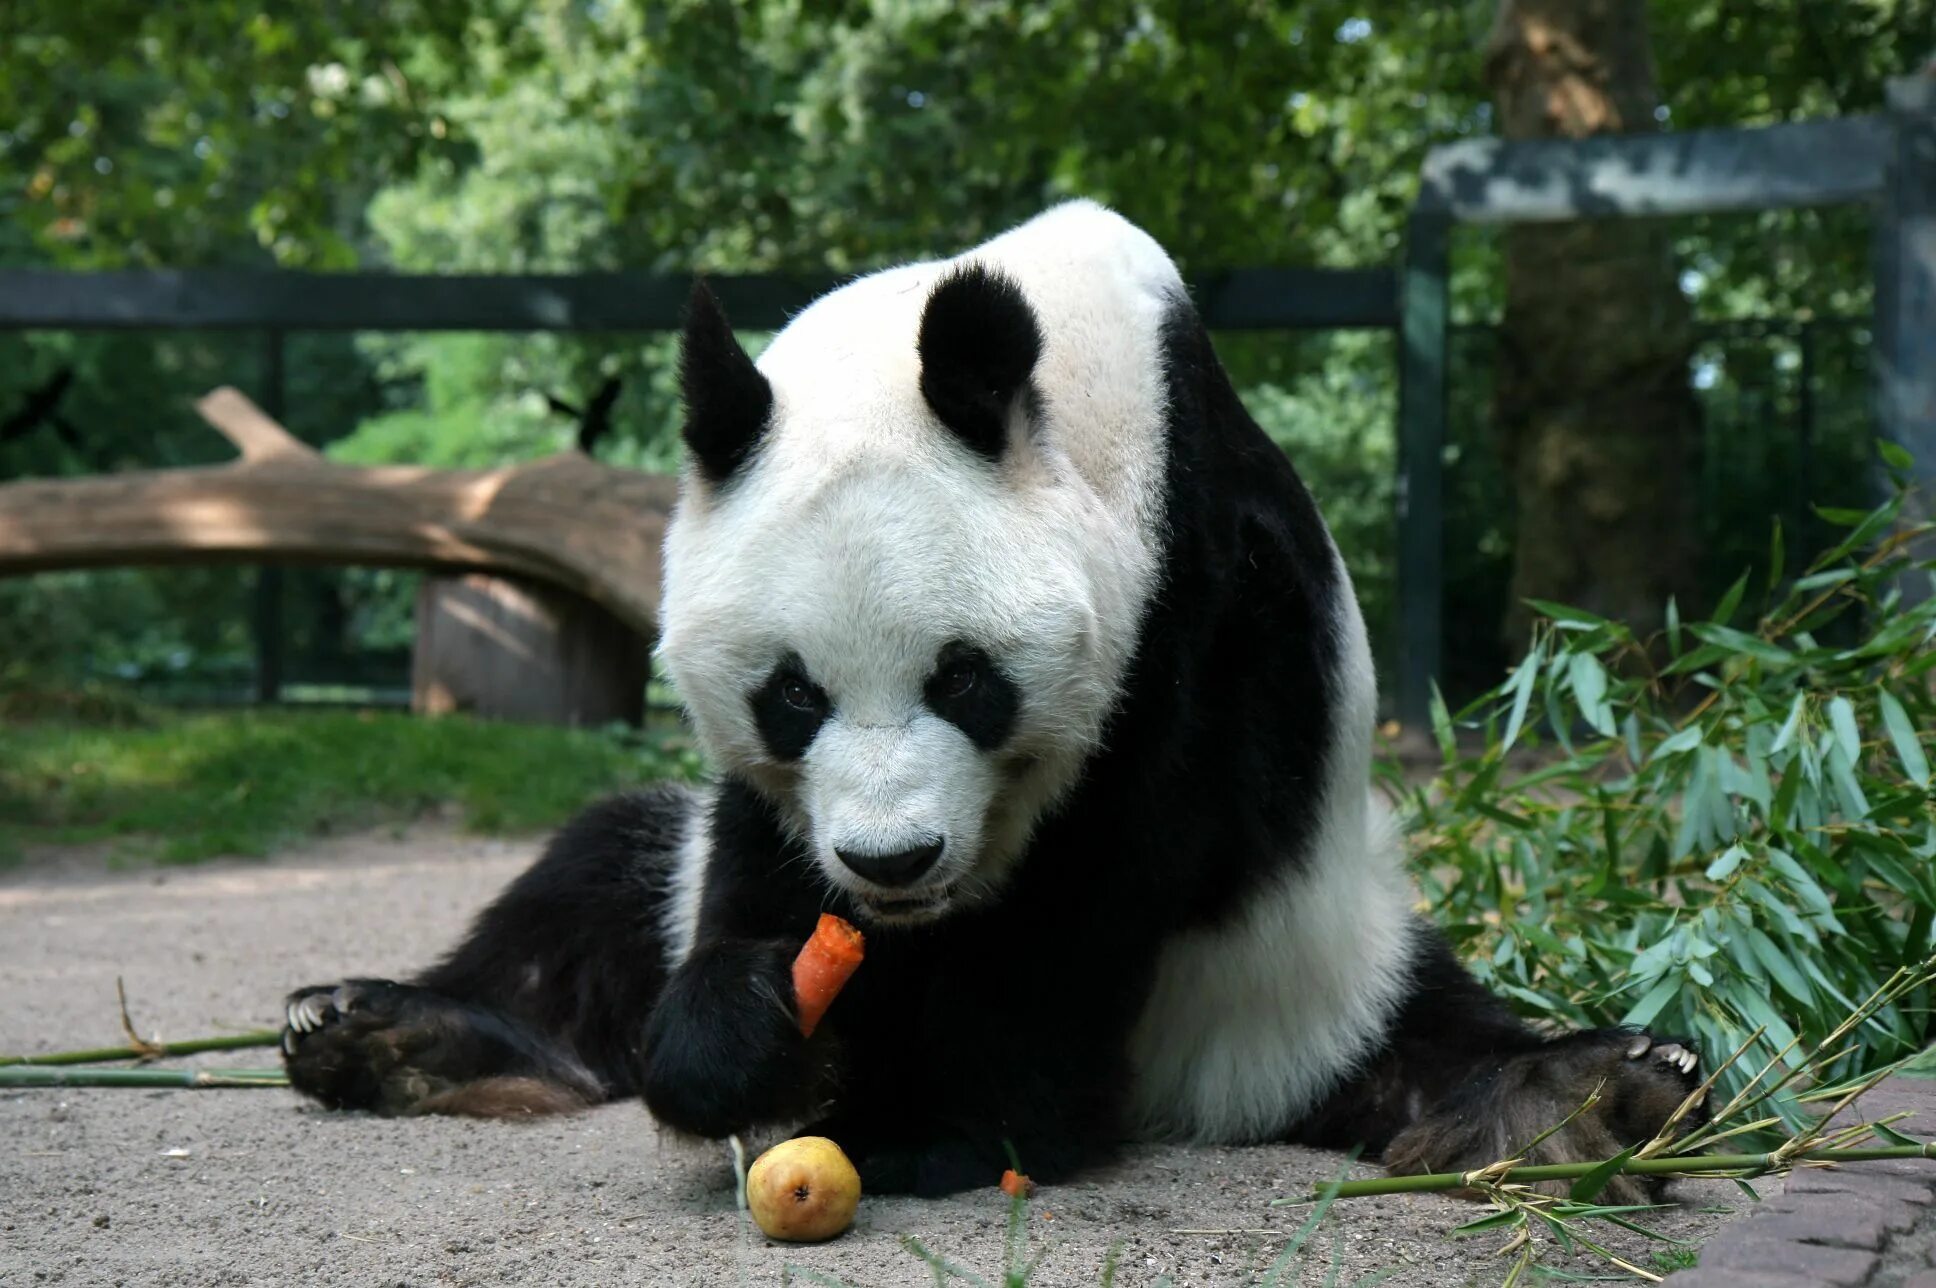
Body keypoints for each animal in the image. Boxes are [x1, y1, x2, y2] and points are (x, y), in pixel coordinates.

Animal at [280, 198, 1703, 1193]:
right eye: (789, 695)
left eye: (963, 679)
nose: (892, 861)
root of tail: (1210, 1096)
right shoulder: (771, 810)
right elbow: (753, 867)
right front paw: (752, 1043)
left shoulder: (1190, 602)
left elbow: (1093, 886)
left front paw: (939, 1131)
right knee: (590, 884)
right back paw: (376, 1030)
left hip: (1311, 961)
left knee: (1420, 1041)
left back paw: (1580, 1097)